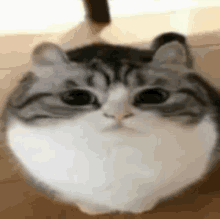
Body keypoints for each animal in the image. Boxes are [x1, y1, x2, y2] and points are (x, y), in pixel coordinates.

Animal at [2, 33, 220, 215]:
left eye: (153, 96)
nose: (118, 114)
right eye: (77, 97)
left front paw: (141, 207)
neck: (114, 154)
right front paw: (92, 209)